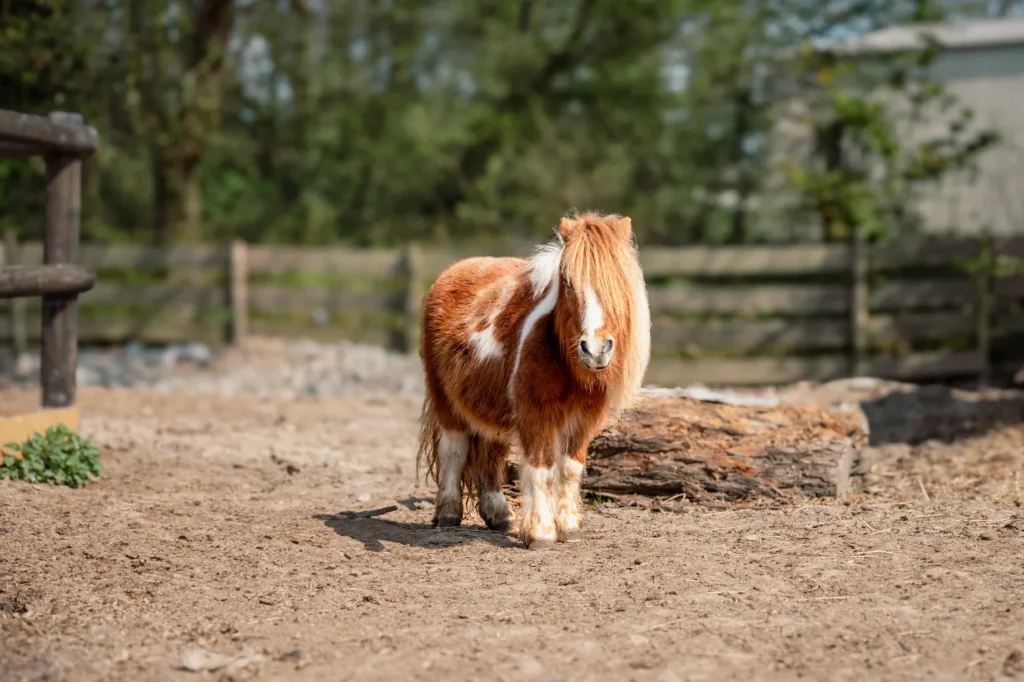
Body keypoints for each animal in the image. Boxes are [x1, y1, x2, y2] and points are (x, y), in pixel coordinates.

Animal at [416, 212, 651, 549]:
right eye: (569, 283)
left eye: (618, 283)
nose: (595, 349)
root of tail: (453, 271)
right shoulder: (535, 414)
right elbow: (541, 470)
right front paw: (540, 532)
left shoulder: (586, 420)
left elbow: (570, 469)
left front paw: (569, 527)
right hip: (445, 401)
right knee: (454, 450)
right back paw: (448, 515)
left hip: (491, 407)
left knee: (491, 454)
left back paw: (500, 516)